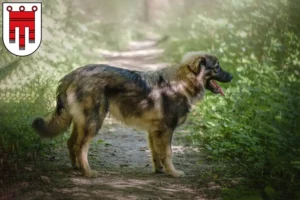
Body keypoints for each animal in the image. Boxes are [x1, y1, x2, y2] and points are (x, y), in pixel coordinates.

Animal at [33, 51, 234, 177]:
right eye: (217, 67)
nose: (232, 76)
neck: (184, 82)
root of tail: (72, 75)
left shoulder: (154, 131)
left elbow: (157, 153)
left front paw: (161, 170)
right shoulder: (167, 129)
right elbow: (168, 153)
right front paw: (173, 173)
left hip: (81, 121)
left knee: (71, 143)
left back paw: (76, 168)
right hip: (94, 121)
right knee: (80, 146)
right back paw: (87, 172)